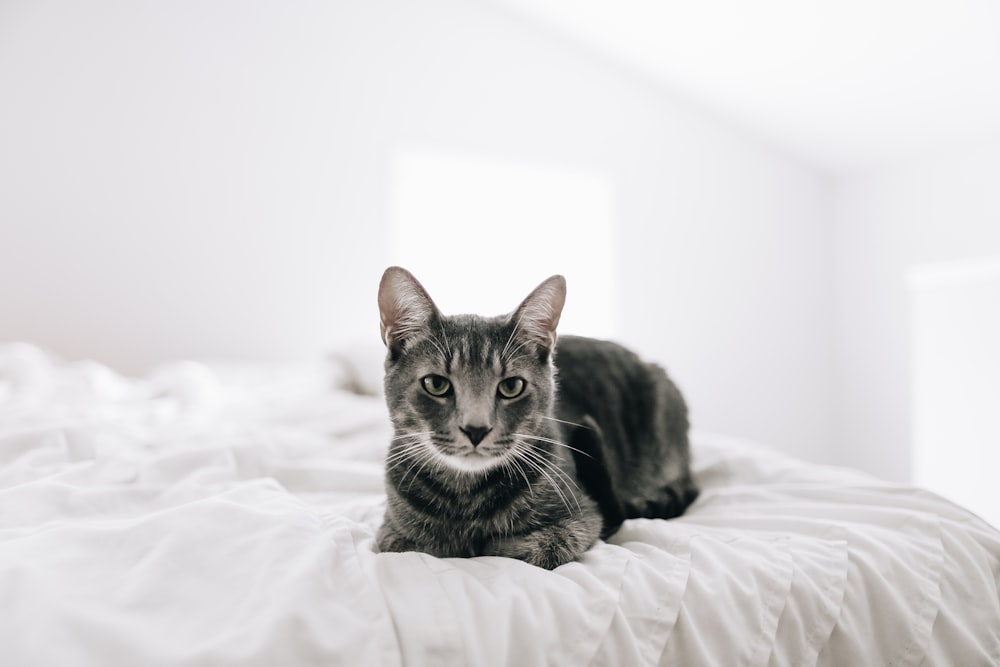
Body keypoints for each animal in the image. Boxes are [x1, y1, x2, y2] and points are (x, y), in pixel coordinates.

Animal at [376, 266, 696, 568]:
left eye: (511, 386)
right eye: (436, 384)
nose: (476, 429)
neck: (466, 498)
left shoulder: (583, 517)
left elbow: (532, 549)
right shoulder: (391, 534)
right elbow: (418, 545)